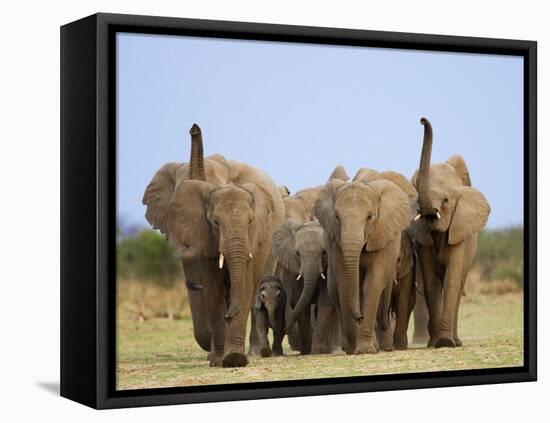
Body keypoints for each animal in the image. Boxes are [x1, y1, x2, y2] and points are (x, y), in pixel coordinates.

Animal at [142, 123, 284, 368]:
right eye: (214, 222)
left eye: (250, 221)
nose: (194, 128)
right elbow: (212, 288)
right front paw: (219, 359)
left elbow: (244, 286)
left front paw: (235, 359)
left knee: (256, 288)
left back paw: (256, 352)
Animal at [312, 170, 416, 354]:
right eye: (336, 217)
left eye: (370, 217)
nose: (359, 316)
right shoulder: (336, 242)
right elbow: (345, 284)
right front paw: (355, 348)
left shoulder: (380, 237)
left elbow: (372, 283)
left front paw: (365, 350)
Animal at [414, 117, 492, 350]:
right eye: (416, 195)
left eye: (446, 200)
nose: (422, 119)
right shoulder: (423, 239)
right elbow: (431, 282)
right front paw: (436, 344)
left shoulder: (459, 230)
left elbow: (452, 279)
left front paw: (446, 343)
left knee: (459, 285)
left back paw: (456, 341)